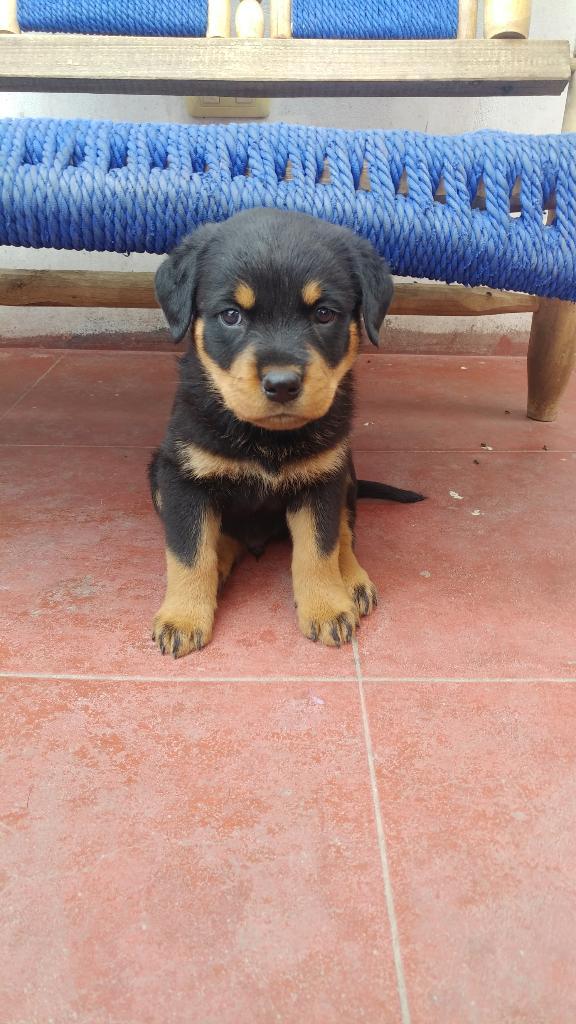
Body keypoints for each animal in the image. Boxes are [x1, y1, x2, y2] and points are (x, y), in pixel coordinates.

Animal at [147, 207, 420, 655]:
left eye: (324, 313)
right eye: (231, 315)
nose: (281, 384)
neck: (265, 438)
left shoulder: (322, 480)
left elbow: (319, 549)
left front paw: (327, 608)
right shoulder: (182, 478)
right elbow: (188, 552)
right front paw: (183, 617)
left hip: (347, 473)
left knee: (345, 532)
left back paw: (352, 581)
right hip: (155, 472)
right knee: (220, 538)